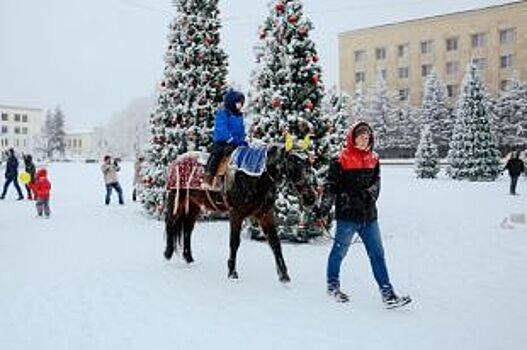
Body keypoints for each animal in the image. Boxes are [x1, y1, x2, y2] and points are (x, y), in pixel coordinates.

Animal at [163, 145, 316, 284]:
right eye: (292, 166)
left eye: (308, 166)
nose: (310, 198)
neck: (254, 177)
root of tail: (178, 160)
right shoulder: (236, 214)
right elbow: (234, 242)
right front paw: (232, 272)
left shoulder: (265, 215)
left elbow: (275, 243)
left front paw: (284, 275)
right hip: (177, 198)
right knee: (171, 223)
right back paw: (168, 254)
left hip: (193, 205)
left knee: (187, 230)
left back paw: (188, 257)